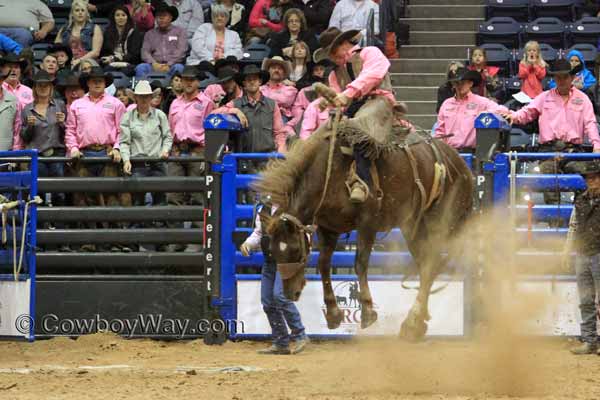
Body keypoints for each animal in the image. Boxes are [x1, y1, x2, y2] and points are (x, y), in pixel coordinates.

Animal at [251, 90, 472, 340]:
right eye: (270, 250)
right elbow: (324, 263)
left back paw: (414, 320)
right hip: (413, 226)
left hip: (441, 222)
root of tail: (460, 164)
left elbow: (360, 263)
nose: (290, 293)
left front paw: (367, 311)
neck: (328, 172)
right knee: (426, 263)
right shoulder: (329, 228)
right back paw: (415, 323)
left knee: (432, 262)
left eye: (296, 249)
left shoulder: (367, 224)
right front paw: (333, 314)